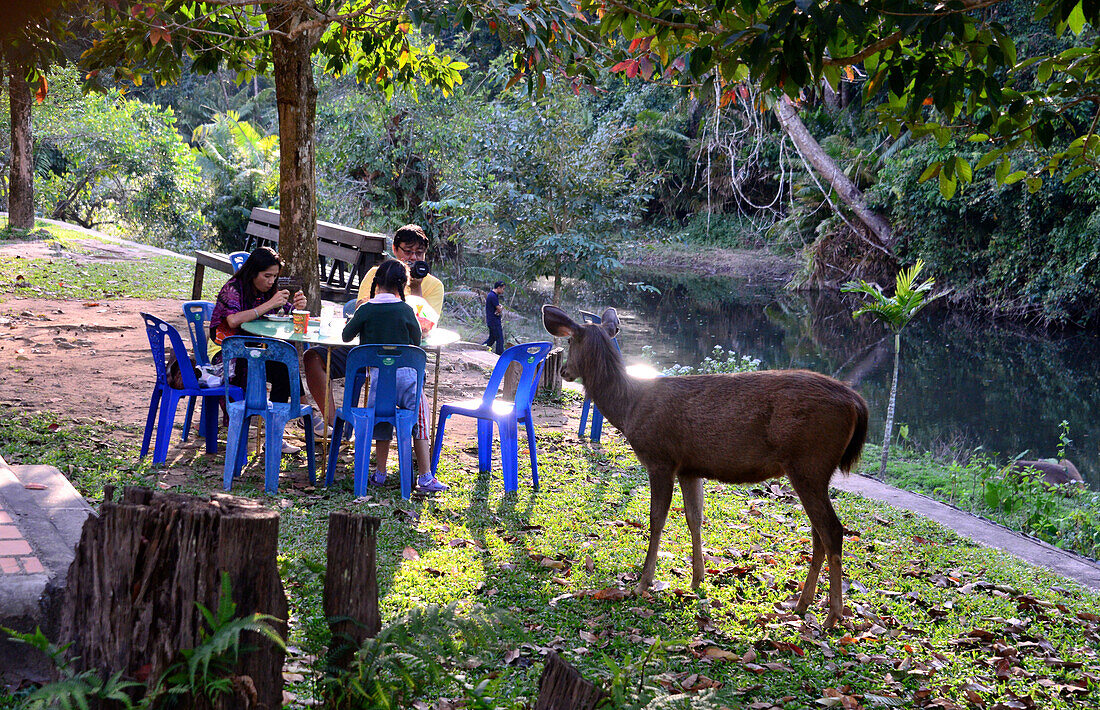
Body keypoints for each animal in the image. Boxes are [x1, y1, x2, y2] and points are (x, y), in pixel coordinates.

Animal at [541, 303, 866, 625]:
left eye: (570, 341)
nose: (565, 371)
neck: (630, 407)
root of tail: (856, 403)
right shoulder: (689, 468)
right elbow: (694, 518)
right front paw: (697, 580)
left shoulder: (660, 458)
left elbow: (657, 518)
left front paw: (643, 582)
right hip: (811, 470)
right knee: (818, 535)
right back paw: (801, 605)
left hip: (810, 463)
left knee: (832, 531)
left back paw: (833, 615)